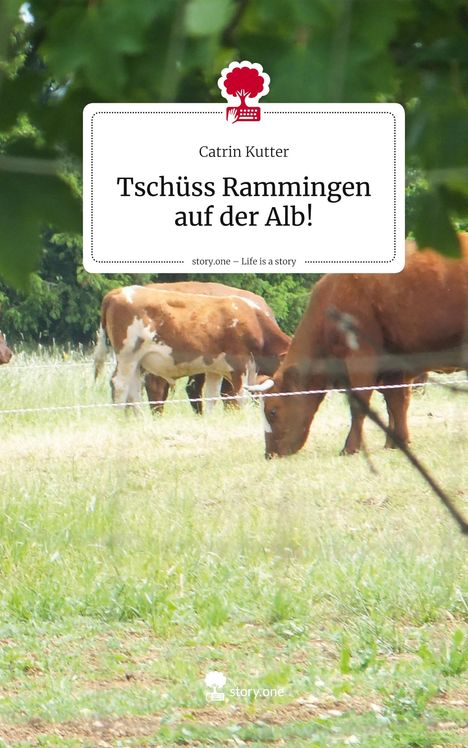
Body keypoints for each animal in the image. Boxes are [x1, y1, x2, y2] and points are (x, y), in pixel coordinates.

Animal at [250, 235, 468, 457]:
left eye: (272, 411)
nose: (269, 454)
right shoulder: (393, 366)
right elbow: (396, 402)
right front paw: (398, 442)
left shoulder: (361, 357)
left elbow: (360, 403)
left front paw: (350, 447)